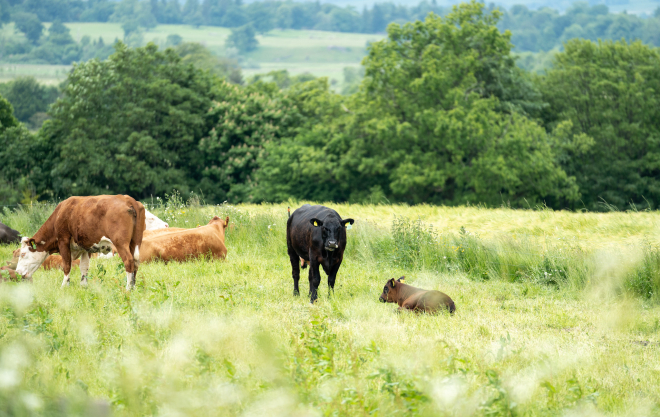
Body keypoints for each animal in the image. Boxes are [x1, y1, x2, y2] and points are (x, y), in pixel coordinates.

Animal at [15, 195, 146, 290]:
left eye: (23, 254)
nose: (17, 272)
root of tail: (128, 199)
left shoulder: (63, 241)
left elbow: (67, 265)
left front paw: (64, 286)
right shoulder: (85, 247)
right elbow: (84, 266)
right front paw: (83, 285)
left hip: (120, 243)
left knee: (128, 261)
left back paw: (128, 288)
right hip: (135, 241)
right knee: (135, 262)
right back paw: (133, 286)